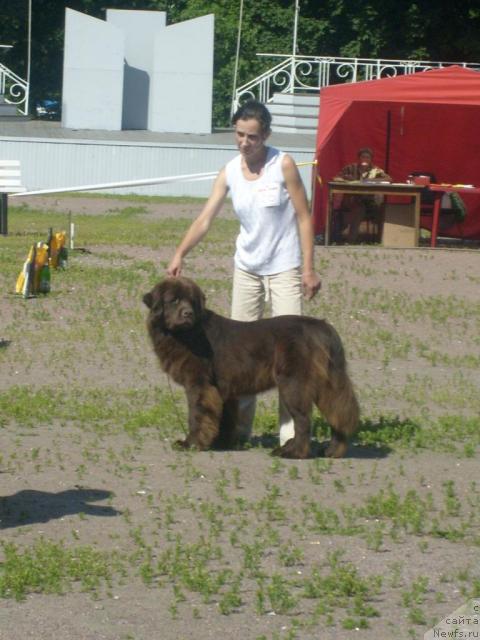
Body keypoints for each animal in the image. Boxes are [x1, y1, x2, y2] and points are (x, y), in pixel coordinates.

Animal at [144, 278, 358, 458]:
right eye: (174, 300)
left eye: (192, 302)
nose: (187, 313)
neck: (187, 334)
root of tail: (322, 327)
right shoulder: (222, 389)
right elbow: (224, 418)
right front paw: (221, 443)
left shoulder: (200, 384)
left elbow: (197, 414)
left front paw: (191, 444)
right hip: (328, 382)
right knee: (337, 413)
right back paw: (332, 450)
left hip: (294, 383)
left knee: (303, 419)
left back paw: (293, 452)